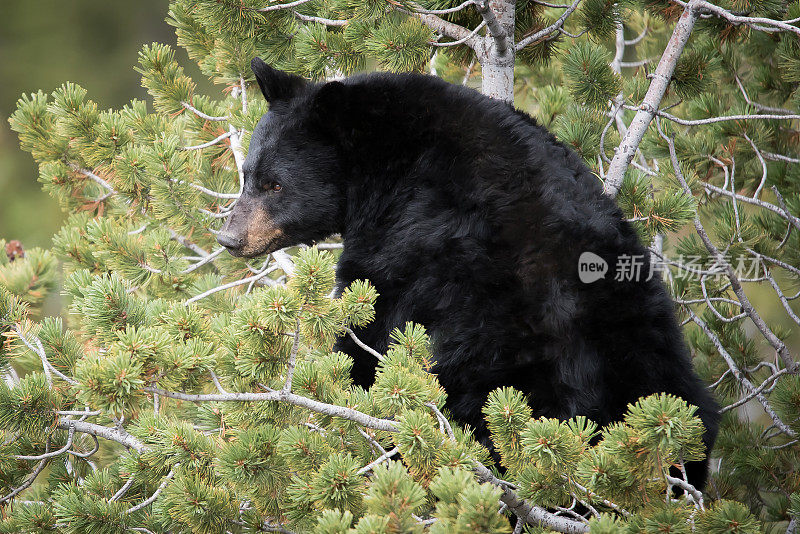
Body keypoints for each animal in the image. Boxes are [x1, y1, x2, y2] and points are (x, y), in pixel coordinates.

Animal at [217, 57, 720, 490]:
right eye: (247, 175)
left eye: (275, 184)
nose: (229, 237)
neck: (394, 166)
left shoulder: (407, 246)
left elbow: (370, 330)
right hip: (658, 363)